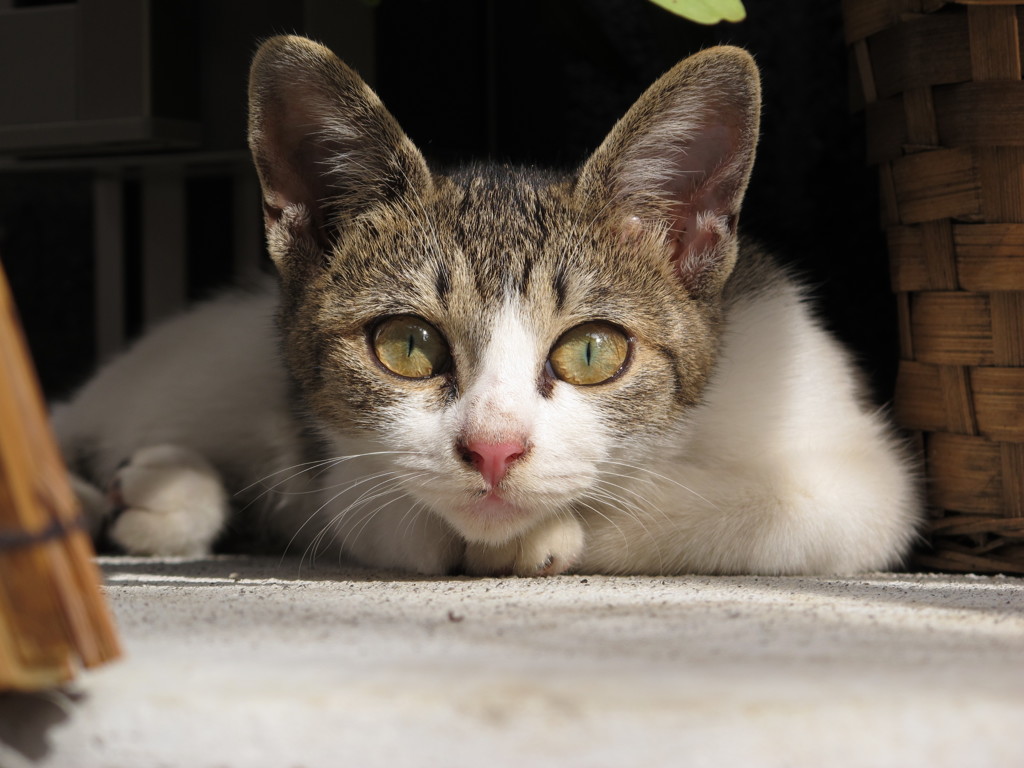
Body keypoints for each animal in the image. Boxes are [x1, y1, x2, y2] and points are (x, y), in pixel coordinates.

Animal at [51, 36, 925, 577]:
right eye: (406, 346)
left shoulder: (850, 471)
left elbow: (755, 507)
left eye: (593, 351)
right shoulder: (337, 458)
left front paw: (564, 524)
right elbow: (366, 499)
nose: (495, 451)